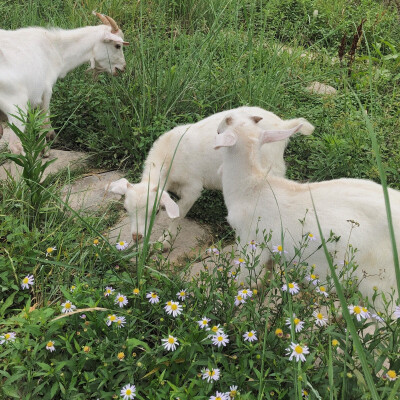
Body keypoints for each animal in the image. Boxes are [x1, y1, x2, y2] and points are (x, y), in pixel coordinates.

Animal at [0, 11, 128, 154]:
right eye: (118, 45)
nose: (123, 68)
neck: (55, 49)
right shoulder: (46, 90)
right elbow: (44, 119)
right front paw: (45, 149)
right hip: (17, 106)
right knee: (15, 145)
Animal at [108, 108, 314, 248]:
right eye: (125, 209)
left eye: (157, 211)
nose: (137, 237)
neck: (168, 155)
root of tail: (283, 126)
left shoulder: (192, 187)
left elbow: (179, 214)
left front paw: (165, 241)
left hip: (273, 166)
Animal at [216, 109, 400, 310]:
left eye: (228, 120)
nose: (217, 128)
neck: (251, 187)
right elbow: (265, 279)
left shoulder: (250, 242)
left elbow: (242, 281)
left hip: (381, 282)